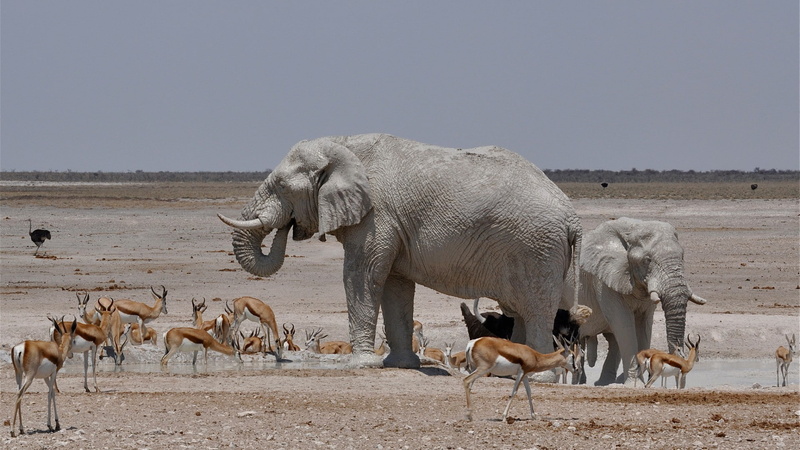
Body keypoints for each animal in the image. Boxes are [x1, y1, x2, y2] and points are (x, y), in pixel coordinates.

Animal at [218, 133, 586, 369]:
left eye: (282, 186)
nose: (288, 226)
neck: (343, 144)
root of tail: (573, 218)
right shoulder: (392, 223)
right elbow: (395, 286)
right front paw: (399, 365)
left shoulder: (376, 216)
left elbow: (362, 276)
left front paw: (362, 365)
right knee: (522, 311)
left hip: (537, 250)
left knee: (536, 310)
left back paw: (541, 374)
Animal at [560, 217, 707, 385]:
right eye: (647, 260)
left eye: (682, 256)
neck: (634, 228)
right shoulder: (604, 281)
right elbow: (624, 325)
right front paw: (634, 384)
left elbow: (643, 327)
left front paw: (637, 382)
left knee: (612, 341)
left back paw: (604, 383)